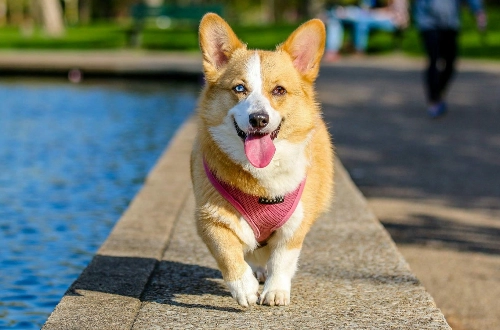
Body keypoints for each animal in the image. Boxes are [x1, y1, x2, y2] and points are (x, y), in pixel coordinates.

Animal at [189, 12, 334, 306]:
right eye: (239, 88)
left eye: (279, 90)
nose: (259, 119)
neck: (262, 179)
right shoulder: (209, 218)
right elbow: (228, 253)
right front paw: (243, 287)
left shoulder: (295, 225)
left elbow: (282, 259)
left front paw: (276, 291)